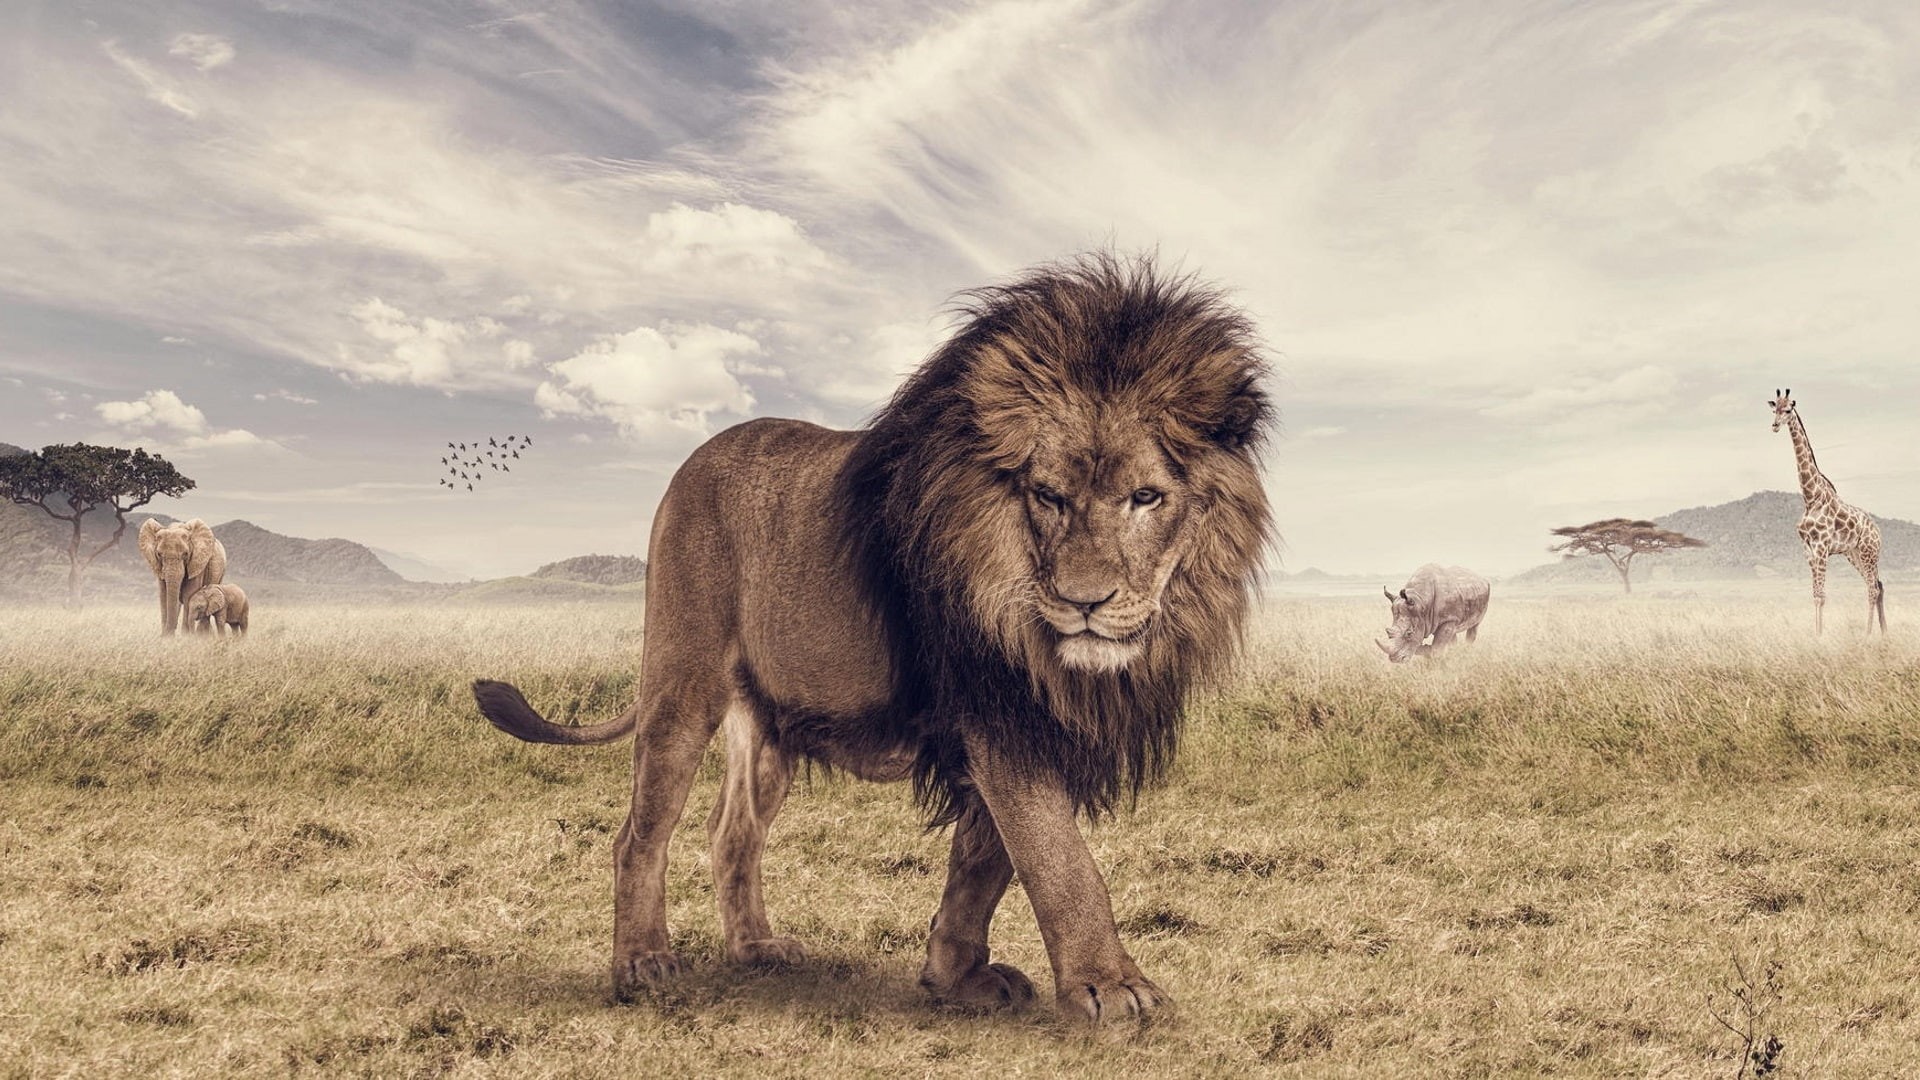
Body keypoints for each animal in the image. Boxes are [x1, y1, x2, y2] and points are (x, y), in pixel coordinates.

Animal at [473, 253, 1274, 1025]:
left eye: (1146, 497)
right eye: (1047, 496)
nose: (1085, 603)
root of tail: (694, 459)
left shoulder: (1021, 717)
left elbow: (983, 861)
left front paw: (955, 977)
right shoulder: (997, 706)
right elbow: (1056, 857)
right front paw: (1110, 988)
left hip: (769, 729)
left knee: (732, 832)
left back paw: (757, 948)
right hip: (682, 680)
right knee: (640, 834)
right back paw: (642, 963)